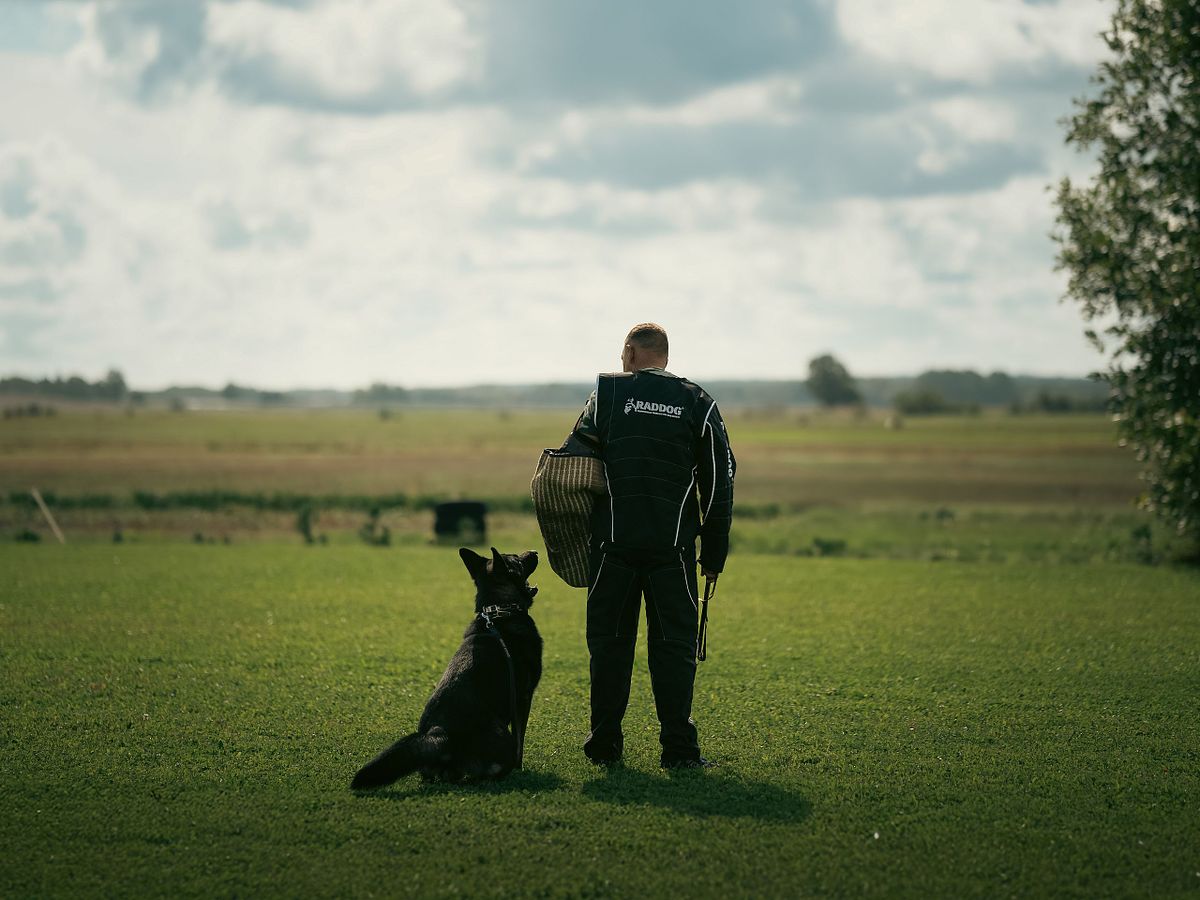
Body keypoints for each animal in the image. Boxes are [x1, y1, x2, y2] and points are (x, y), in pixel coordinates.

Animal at [351, 547, 543, 788]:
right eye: (517, 559)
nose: (535, 551)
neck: (499, 611)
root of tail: (441, 735)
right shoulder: (523, 699)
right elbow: (521, 742)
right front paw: (521, 769)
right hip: (501, 732)